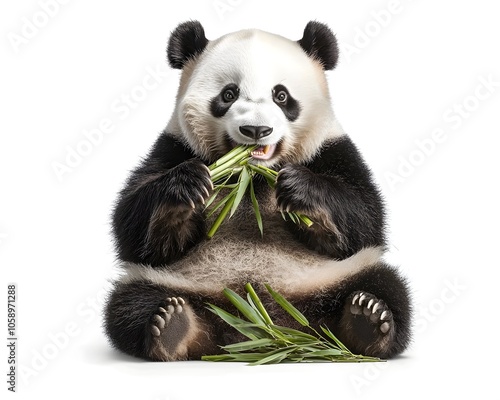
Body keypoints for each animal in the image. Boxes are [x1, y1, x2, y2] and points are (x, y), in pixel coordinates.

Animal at [103, 20, 412, 360]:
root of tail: (261, 329)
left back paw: (366, 321)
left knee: (386, 287)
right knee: (130, 302)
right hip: (178, 283)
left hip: (332, 278)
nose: (256, 130)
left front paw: (299, 189)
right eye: (228, 94)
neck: (251, 177)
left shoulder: (331, 150)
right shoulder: (174, 148)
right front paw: (187, 187)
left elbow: (364, 220)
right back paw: (173, 326)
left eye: (281, 95)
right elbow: (136, 231)